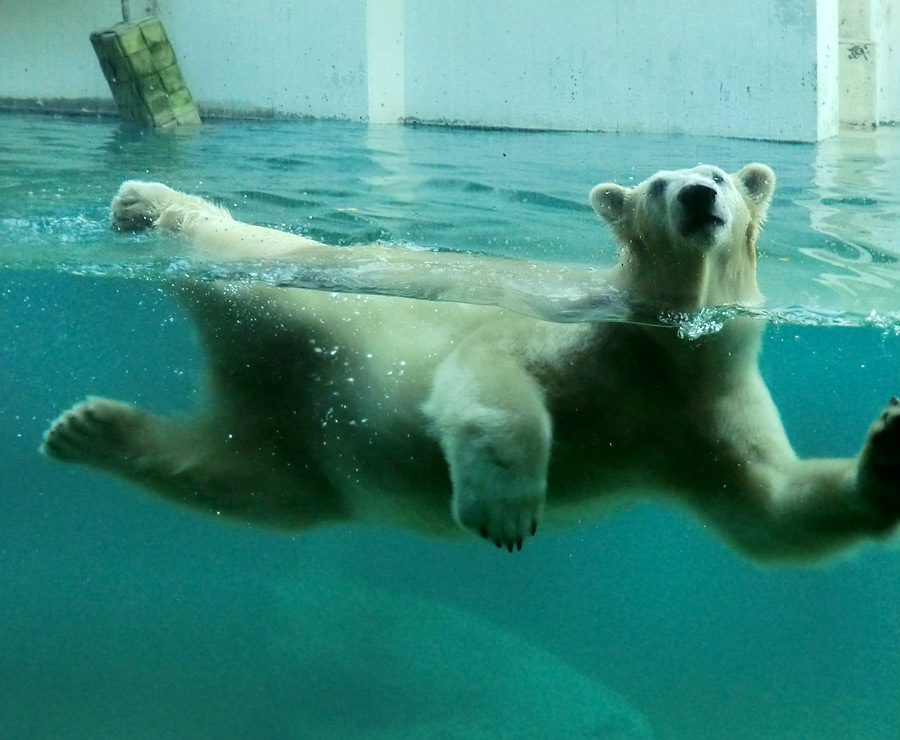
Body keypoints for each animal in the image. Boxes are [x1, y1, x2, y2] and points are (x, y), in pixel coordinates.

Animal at [40, 165, 900, 560]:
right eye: (658, 182)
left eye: (720, 174)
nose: (696, 195)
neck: (660, 345)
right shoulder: (567, 333)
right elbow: (487, 374)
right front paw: (505, 510)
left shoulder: (699, 419)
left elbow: (772, 509)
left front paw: (887, 449)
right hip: (305, 290)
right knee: (239, 250)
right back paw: (141, 203)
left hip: (298, 443)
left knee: (238, 479)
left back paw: (91, 430)